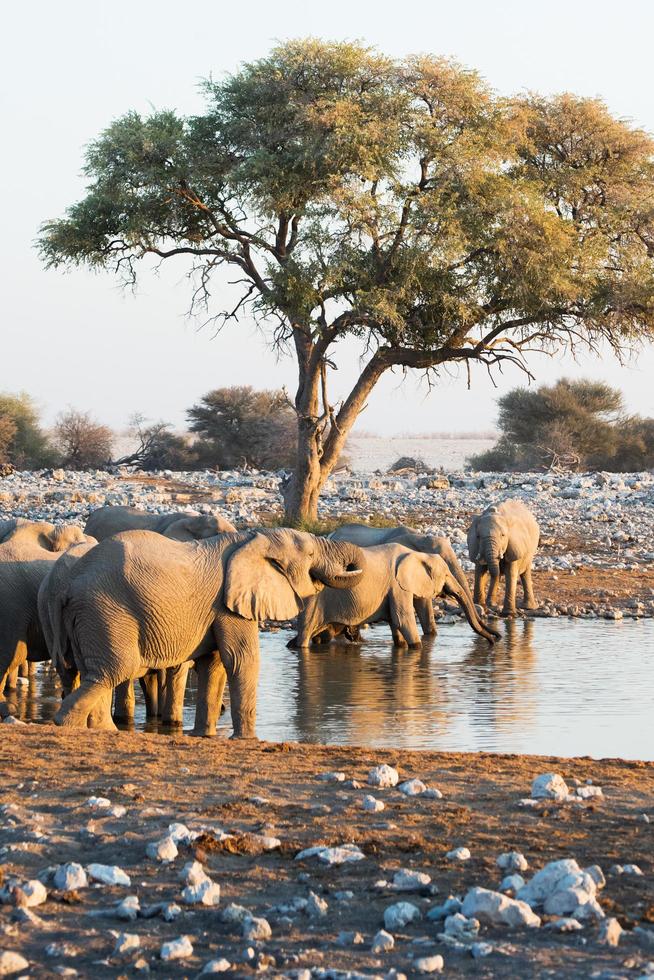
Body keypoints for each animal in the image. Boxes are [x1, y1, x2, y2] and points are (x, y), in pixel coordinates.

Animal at [47, 528, 364, 736]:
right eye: (310, 553)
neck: (252, 539)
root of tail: (67, 585)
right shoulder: (228, 604)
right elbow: (241, 661)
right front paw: (246, 740)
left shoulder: (217, 609)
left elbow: (213, 665)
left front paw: (204, 736)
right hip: (105, 611)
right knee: (115, 669)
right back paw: (69, 724)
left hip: (88, 618)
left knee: (92, 670)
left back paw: (103, 730)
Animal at [290, 544, 500, 652]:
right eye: (446, 575)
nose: (495, 639)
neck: (418, 554)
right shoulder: (398, 586)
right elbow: (403, 620)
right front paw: (417, 647)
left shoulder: (399, 588)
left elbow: (397, 623)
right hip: (313, 600)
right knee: (305, 634)